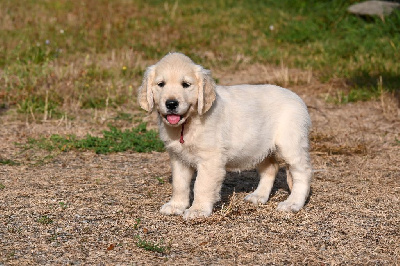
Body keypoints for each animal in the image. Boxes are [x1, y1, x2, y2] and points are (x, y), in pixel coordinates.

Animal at [138, 53, 312, 219]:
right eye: (161, 84)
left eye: (186, 84)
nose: (171, 104)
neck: (188, 123)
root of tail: (297, 98)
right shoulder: (178, 158)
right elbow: (179, 184)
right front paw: (176, 206)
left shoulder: (210, 159)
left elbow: (201, 185)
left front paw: (197, 210)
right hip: (259, 147)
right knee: (271, 168)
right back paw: (258, 196)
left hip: (291, 144)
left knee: (303, 172)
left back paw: (293, 203)